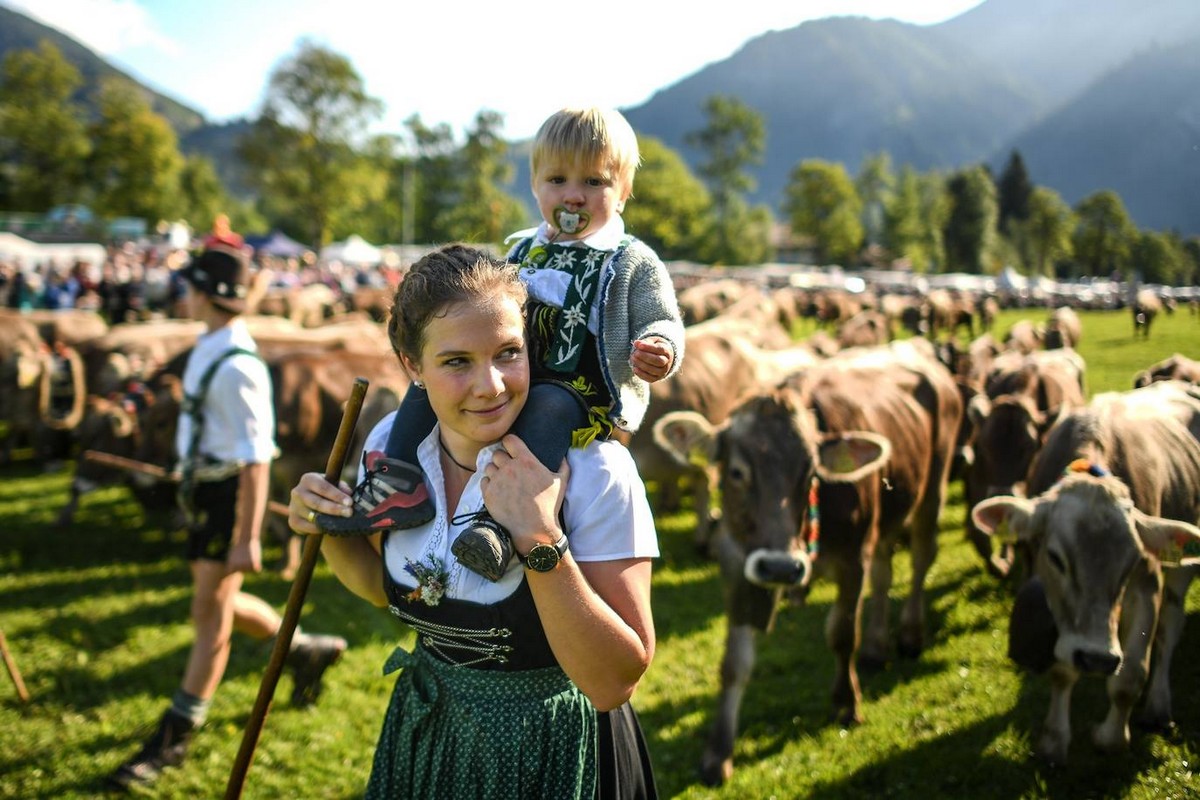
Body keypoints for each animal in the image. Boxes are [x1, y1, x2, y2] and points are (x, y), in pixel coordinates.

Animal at [652, 347, 960, 786]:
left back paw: (910, 633)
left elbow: (842, 634)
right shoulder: (736, 564)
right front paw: (717, 753)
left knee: (920, 559)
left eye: (811, 473)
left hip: (933, 487)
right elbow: (734, 664)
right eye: (736, 471)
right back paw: (876, 646)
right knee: (885, 572)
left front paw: (846, 703)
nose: (780, 568)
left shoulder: (852, 558)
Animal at [969, 383, 1200, 767]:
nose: (1097, 659)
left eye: (1131, 561)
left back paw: (1157, 705)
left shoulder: (1147, 582)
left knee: (1170, 627)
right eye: (1055, 558)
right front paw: (1053, 741)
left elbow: (1129, 676)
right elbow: (1062, 668)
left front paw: (1110, 738)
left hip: (1183, 566)